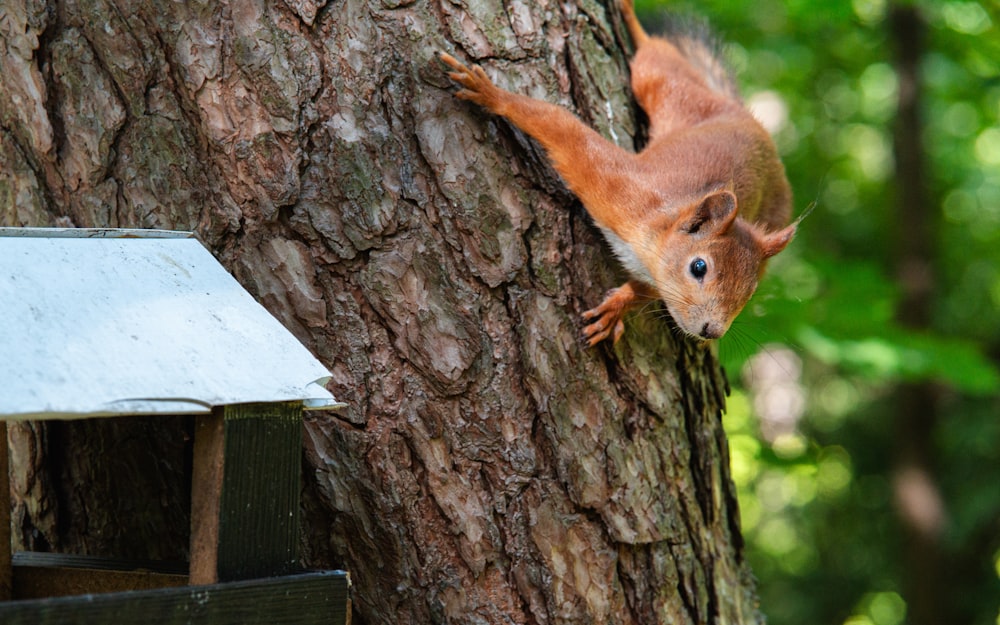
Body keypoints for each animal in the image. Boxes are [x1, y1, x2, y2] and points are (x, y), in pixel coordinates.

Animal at [442, 0, 800, 344]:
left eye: (751, 290)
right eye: (699, 267)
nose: (711, 331)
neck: (651, 245)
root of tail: (747, 117)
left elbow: (647, 290)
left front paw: (617, 307)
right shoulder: (620, 188)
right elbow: (564, 130)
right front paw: (491, 94)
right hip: (667, 87)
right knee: (655, 56)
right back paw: (631, 19)